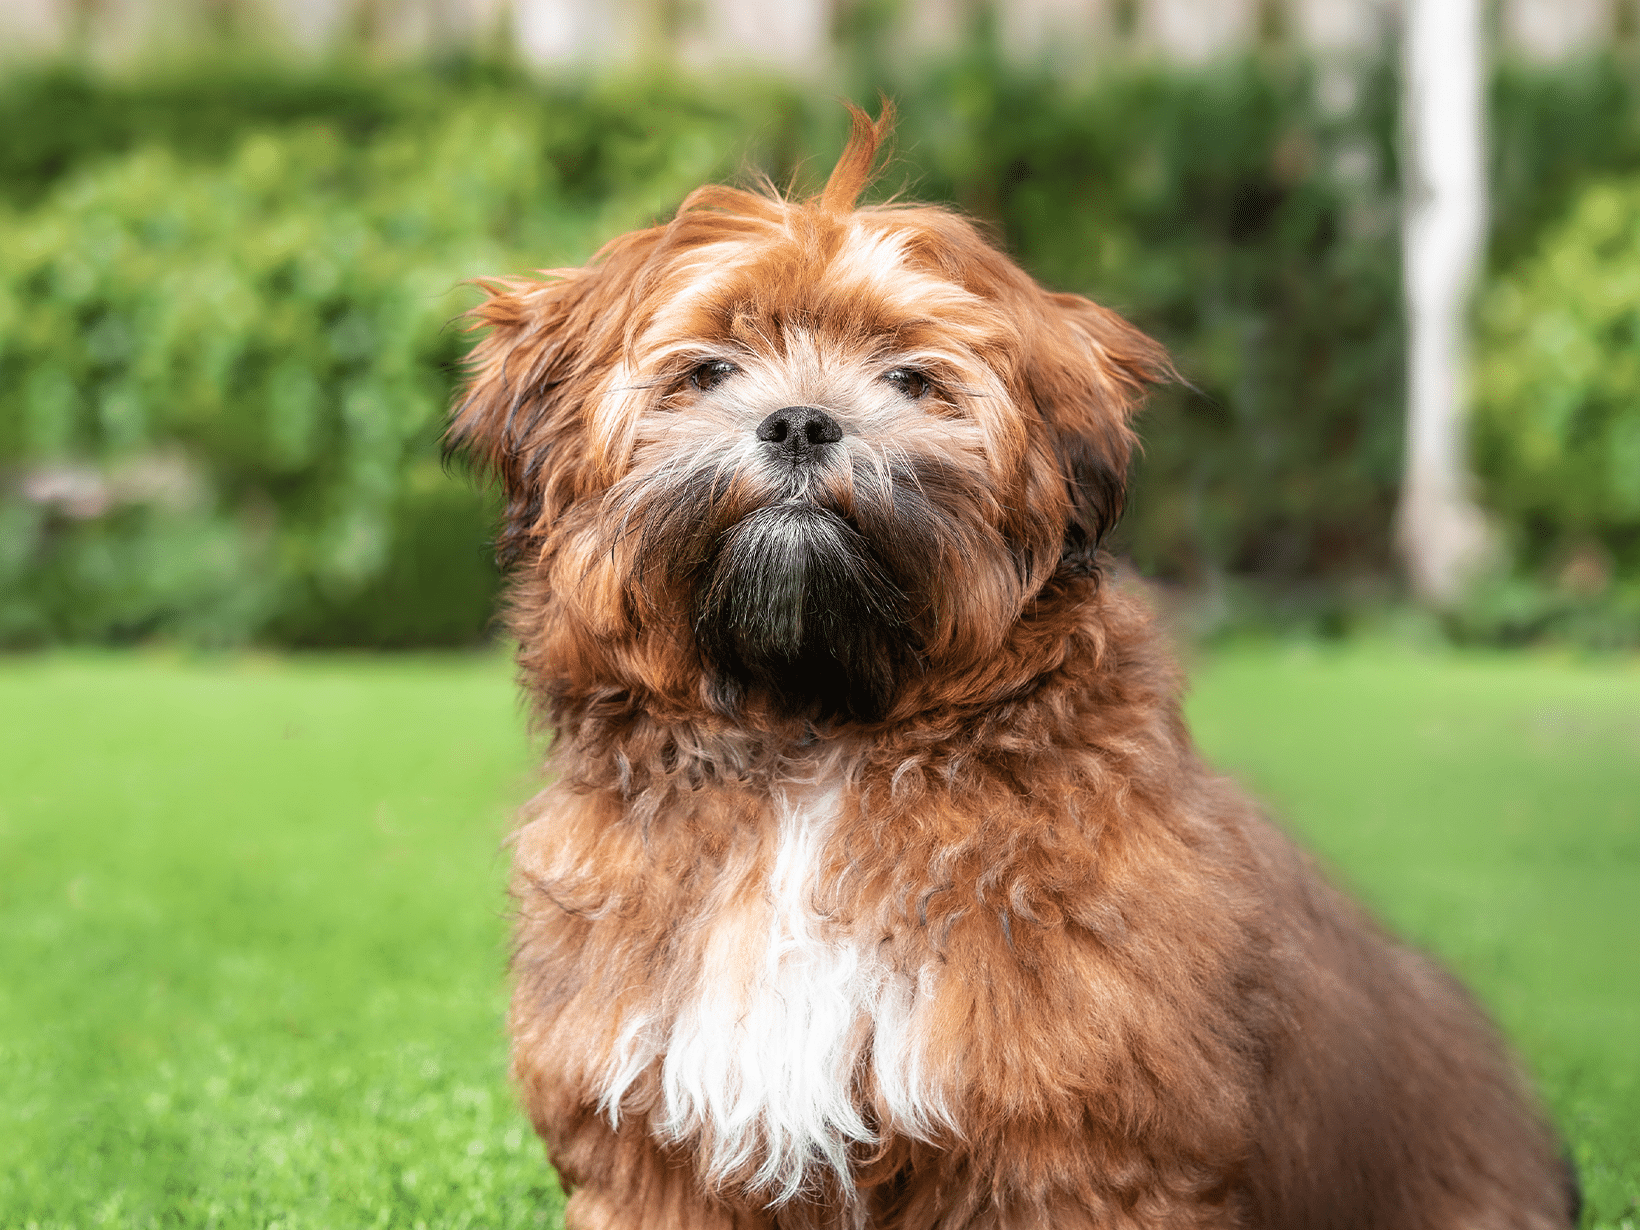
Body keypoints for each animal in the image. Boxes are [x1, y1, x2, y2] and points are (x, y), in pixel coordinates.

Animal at [449, 108, 1574, 1230]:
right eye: (710, 369)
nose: (802, 422)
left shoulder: (1077, 1140)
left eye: (909, 379)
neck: (812, 744)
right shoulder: (653, 1136)